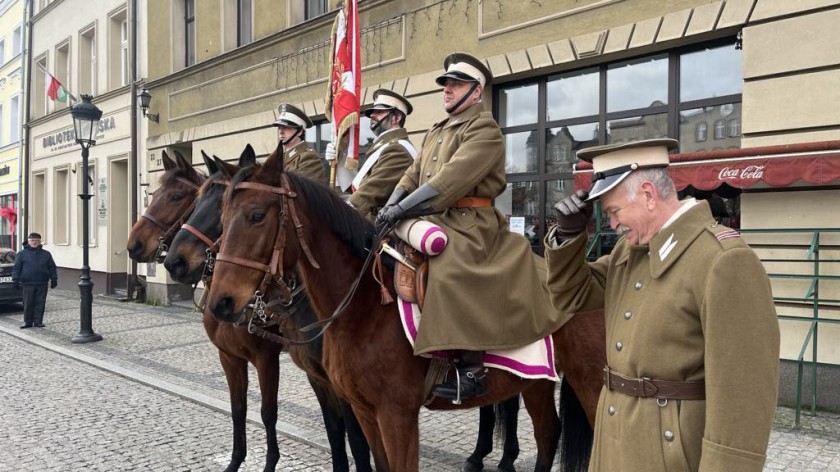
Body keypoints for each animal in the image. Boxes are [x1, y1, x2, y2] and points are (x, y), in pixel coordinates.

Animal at [162, 148, 372, 472]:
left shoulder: (268, 359)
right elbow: (239, 409)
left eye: (175, 197)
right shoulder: (231, 358)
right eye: (197, 199)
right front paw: (236, 461)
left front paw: (270, 461)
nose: (175, 262)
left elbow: (269, 413)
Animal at [207, 146, 608, 470]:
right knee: (547, 435)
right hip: (536, 380)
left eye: (257, 216)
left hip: (591, 383)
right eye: (222, 219)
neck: (363, 308)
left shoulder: (396, 414)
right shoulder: (364, 411)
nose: (220, 303)